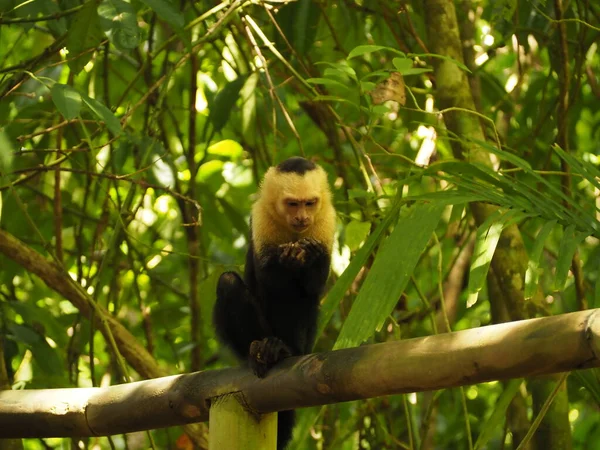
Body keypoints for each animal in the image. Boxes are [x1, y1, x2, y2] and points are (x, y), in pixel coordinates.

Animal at [214, 156, 338, 448]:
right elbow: (267, 278)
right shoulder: (260, 214)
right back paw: (261, 348)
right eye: (292, 203)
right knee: (229, 283)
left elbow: (313, 287)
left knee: (301, 301)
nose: (302, 217)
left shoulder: (326, 218)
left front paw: (310, 257)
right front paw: (287, 259)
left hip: (306, 343)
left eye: (310, 203)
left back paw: (284, 349)